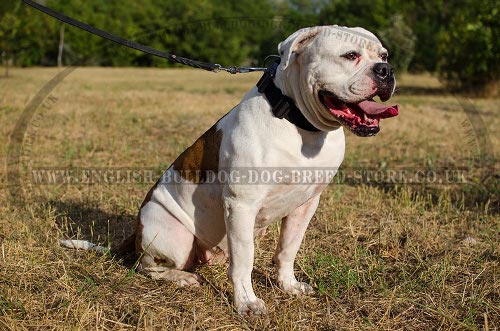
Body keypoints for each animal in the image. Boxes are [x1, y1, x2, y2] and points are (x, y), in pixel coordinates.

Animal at [61, 25, 398, 316]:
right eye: (350, 55)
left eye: (384, 55)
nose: (386, 70)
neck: (299, 123)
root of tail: (135, 234)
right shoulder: (241, 205)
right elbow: (245, 260)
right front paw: (246, 303)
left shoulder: (306, 204)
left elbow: (288, 248)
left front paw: (287, 286)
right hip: (174, 235)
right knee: (148, 267)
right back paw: (182, 278)